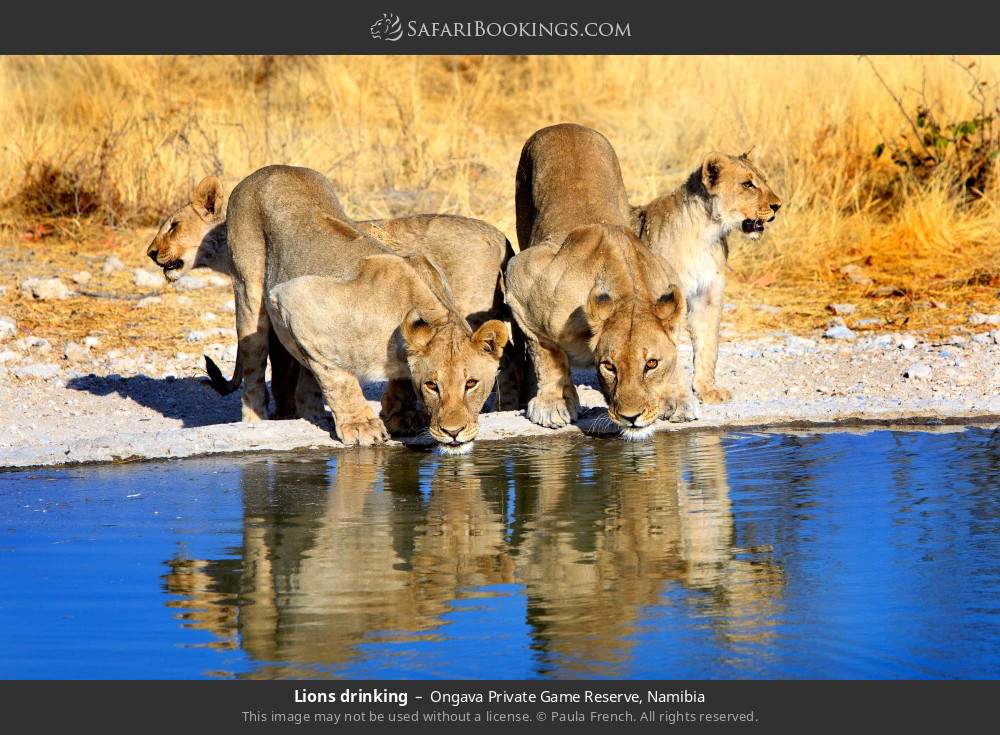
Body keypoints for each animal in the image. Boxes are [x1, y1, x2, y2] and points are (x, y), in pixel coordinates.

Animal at [150, 167, 508, 452]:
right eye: (433, 386)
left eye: (472, 383)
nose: (453, 432)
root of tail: (267, 170)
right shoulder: (293, 299)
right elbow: (337, 376)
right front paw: (362, 425)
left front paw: (399, 415)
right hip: (250, 292)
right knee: (255, 365)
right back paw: (259, 420)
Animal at [508, 123, 688, 440]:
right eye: (609, 366)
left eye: (651, 364)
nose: (631, 417)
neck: (627, 295)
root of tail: (564, 124)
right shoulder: (521, 279)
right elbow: (547, 353)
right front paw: (553, 404)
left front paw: (675, 396)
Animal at [632, 147, 780, 406]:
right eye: (748, 184)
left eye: (764, 180)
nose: (778, 206)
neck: (706, 233)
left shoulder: (707, 296)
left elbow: (708, 345)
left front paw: (707, 390)